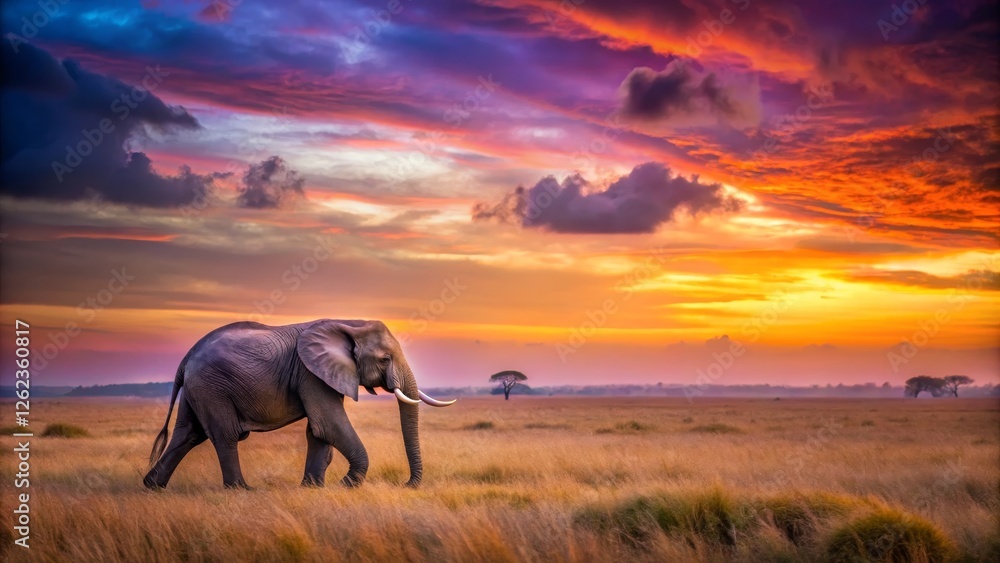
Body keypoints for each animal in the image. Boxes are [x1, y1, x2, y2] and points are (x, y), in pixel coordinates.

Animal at [143, 319, 455, 490]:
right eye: (385, 359)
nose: (407, 484)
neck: (350, 323)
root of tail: (186, 358)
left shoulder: (322, 373)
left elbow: (319, 430)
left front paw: (313, 488)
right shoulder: (310, 372)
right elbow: (329, 424)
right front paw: (345, 486)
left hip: (198, 389)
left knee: (188, 434)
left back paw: (152, 487)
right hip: (212, 387)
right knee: (225, 436)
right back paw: (242, 490)